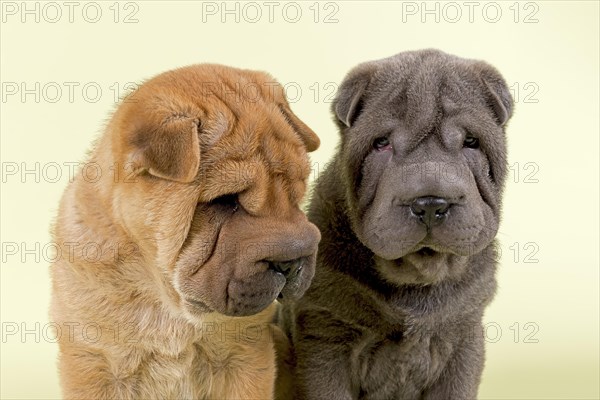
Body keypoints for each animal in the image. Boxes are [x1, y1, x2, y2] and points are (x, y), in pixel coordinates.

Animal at [280, 50, 510, 400]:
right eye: (382, 143)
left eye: (471, 141)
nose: (430, 204)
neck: (417, 273)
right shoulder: (326, 337)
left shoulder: (464, 337)